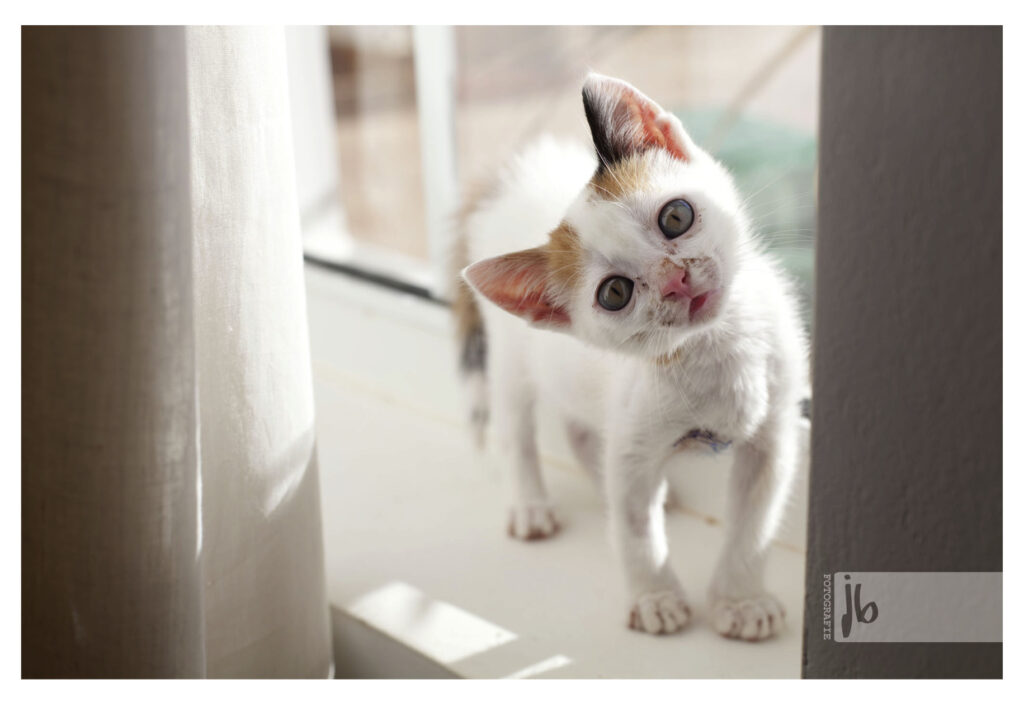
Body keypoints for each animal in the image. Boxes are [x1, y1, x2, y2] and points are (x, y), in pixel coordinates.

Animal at [454, 75, 806, 638]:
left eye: (676, 216)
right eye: (615, 293)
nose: (676, 279)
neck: (715, 346)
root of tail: (517, 173)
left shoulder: (773, 433)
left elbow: (754, 523)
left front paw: (741, 599)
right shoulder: (635, 443)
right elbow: (635, 526)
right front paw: (656, 598)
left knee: (582, 430)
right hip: (508, 358)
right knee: (517, 431)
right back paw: (531, 505)